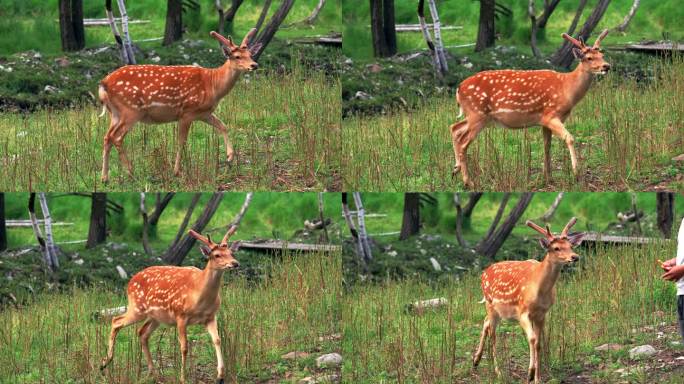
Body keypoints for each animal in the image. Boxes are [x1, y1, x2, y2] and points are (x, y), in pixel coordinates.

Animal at [99, 29, 262, 182]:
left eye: (250, 54)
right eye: (237, 56)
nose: (254, 65)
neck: (212, 85)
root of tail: (103, 83)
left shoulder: (204, 113)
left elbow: (223, 126)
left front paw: (229, 157)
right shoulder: (187, 112)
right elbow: (182, 142)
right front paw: (177, 171)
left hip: (115, 113)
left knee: (107, 137)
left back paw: (105, 178)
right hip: (131, 110)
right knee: (116, 137)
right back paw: (130, 172)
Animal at [100, 226, 242, 382]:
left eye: (231, 253)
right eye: (216, 255)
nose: (235, 263)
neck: (199, 296)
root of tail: (130, 282)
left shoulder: (210, 316)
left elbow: (217, 340)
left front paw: (220, 376)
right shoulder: (180, 315)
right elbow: (184, 347)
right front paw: (183, 378)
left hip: (156, 317)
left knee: (142, 333)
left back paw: (153, 373)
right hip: (137, 307)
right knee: (116, 321)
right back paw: (104, 363)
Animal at [452, 29, 612, 186]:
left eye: (602, 55)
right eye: (589, 58)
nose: (607, 66)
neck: (566, 89)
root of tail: (459, 88)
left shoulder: (544, 121)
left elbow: (547, 145)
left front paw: (548, 178)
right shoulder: (550, 115)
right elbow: (569, 138)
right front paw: (576, 173)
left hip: (475, 115)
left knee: (454, 128)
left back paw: (455, 169)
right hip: (477, 113)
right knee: (463, 141)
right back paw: (468, 181)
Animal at [472, 218, 584, 382]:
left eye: (571, 246)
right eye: (556, 248)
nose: (575, 257)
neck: (539, 291)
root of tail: (483, 273)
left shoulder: (542, 314)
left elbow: (538, 343)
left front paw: (538, 378)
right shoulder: (522, 312)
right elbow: (531, 339)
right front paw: (530, 373)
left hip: (497, 311)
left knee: (486, 322)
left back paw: (476, 360)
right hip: (490, 303)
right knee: (493, 335)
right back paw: (498, 372)